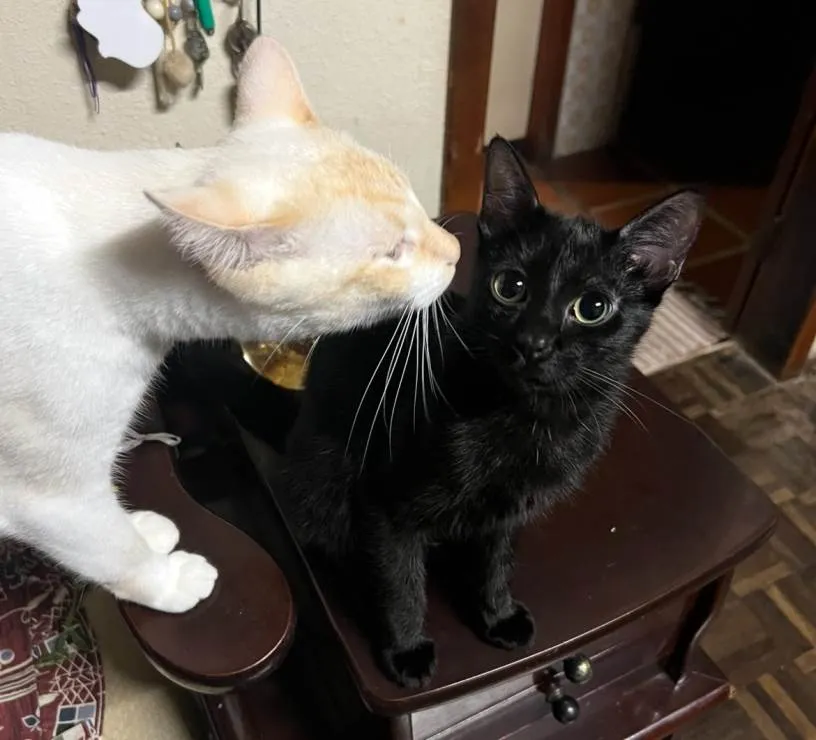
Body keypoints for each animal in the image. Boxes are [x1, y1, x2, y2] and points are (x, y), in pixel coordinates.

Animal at [0, 36, 459, 614]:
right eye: (393, 252)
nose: (458, 251)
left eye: (420, 204)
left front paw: (142, 527)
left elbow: (117, 524)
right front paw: (166, 580)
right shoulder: (50, 498)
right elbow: (111, 548)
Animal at [275, 136, 703, 687]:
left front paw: (497, 614)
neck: (523, 417)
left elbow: (497, 561)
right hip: (322, 482)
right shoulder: (383, 500)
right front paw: (406, 648)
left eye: (593, 308)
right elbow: (400, 581)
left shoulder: (509, 511)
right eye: (510, 287)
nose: (533, 342)